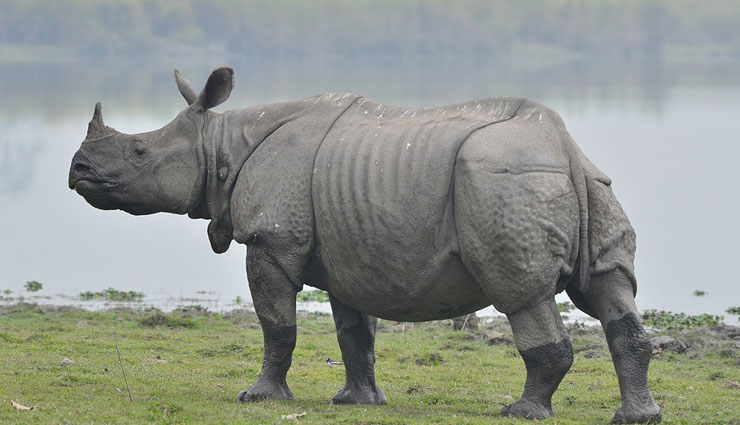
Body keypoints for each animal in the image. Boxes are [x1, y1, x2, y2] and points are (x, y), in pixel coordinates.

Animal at [68, 67, 661, 423]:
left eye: (139, 152)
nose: (77, 171)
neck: (221, 145)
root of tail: (562, 148)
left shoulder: (271, 240)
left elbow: (277, 325)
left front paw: (258, 397)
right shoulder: (349, 248)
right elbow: (354, 332)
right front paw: (357, 401)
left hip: (502, 182)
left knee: (522, 293)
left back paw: (521, 412)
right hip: (587, 183)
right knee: (609, 290)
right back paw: (638, 416)